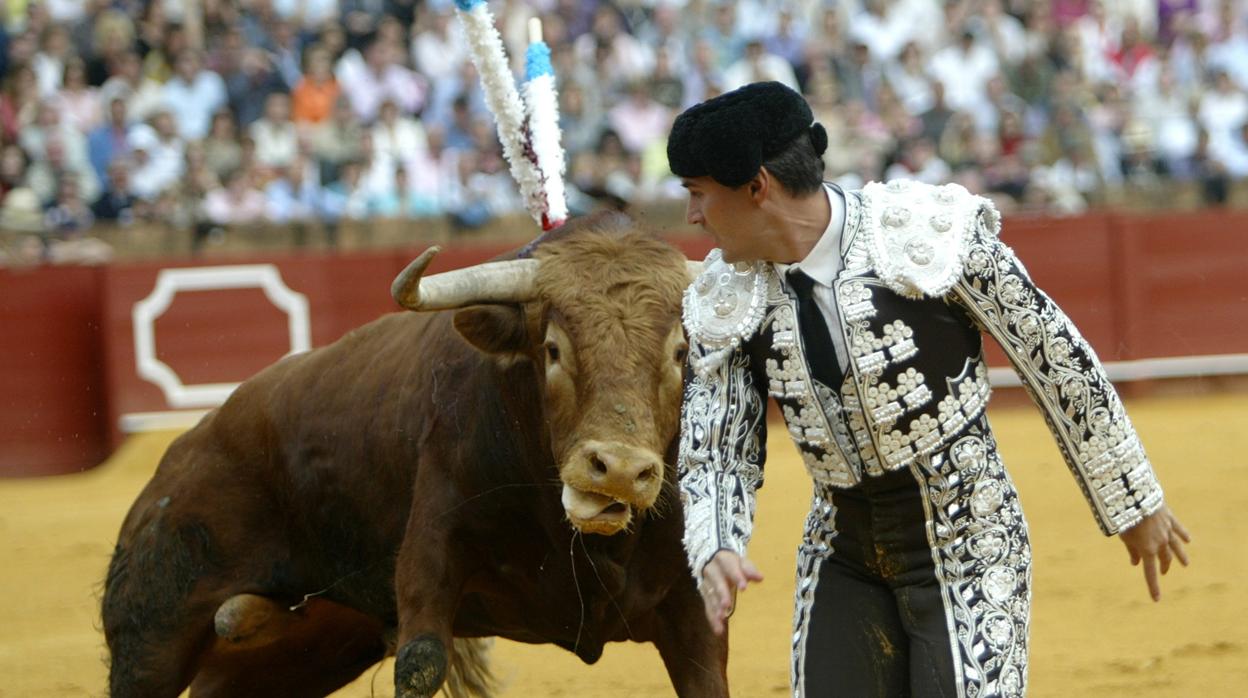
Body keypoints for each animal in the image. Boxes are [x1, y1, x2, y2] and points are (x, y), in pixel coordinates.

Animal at [102, 216, 728, 694]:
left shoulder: (695, 618)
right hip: (152, 632)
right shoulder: (429, 566)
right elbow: (422, 663)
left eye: (680, 352)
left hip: (310, 645)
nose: (618, 470)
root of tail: (177, 459)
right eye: (552, 349)